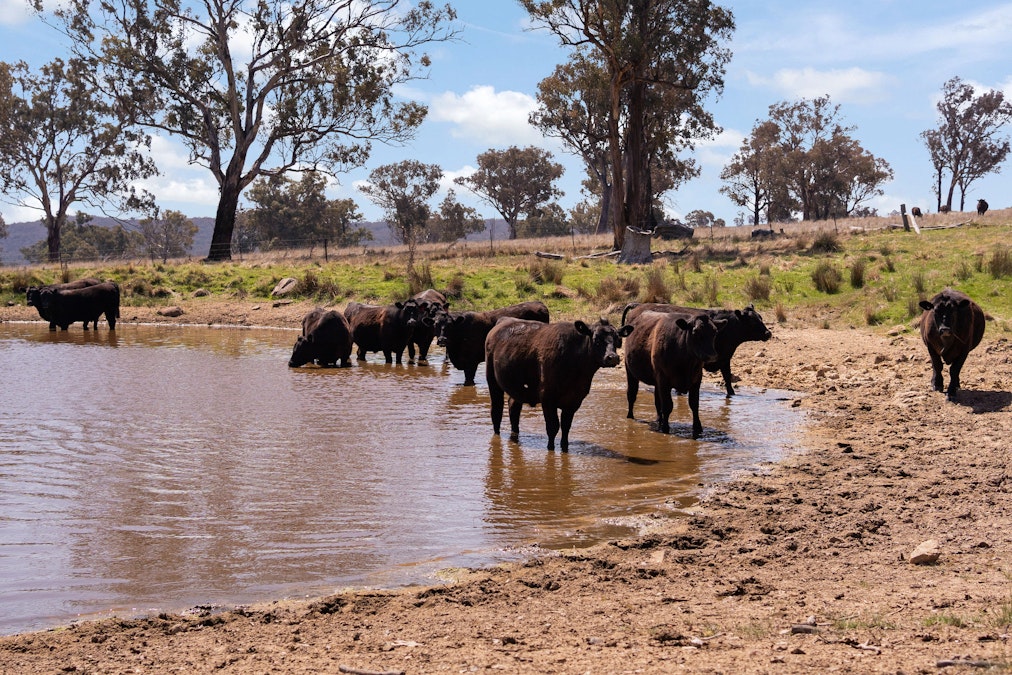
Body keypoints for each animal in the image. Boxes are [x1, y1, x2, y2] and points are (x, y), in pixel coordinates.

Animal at [483, 317, 631, 453]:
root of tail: (504, 320)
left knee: (513, 408)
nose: (612, 357)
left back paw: (515, 435)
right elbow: (553, 427)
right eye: (597, 340)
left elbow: (566, 427)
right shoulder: (548, 398)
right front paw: (551, 450)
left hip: (517, 388)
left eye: (617, 340)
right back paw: (497, 436)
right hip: (492, 380)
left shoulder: (574, 401)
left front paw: (565, 448)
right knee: (496, 411)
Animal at [619, 301, 769, 396]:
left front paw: (731, 394)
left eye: (761, 317)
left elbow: (727, 378)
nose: (768, 333)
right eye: (752, 321)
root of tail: (638, 305)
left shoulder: (724, 359)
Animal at [619, 309, 724, 439]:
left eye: (715, 332)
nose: (712, 356)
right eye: (695, 331)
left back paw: (659, 419)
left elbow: (694, 404)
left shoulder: (696, 379)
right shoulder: (664, 380)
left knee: (657, 401)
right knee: (631, 395)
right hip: (630, 371)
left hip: (655, 380)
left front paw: (698, 428)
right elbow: (668, 405)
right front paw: (665, 428)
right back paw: (630, 416)